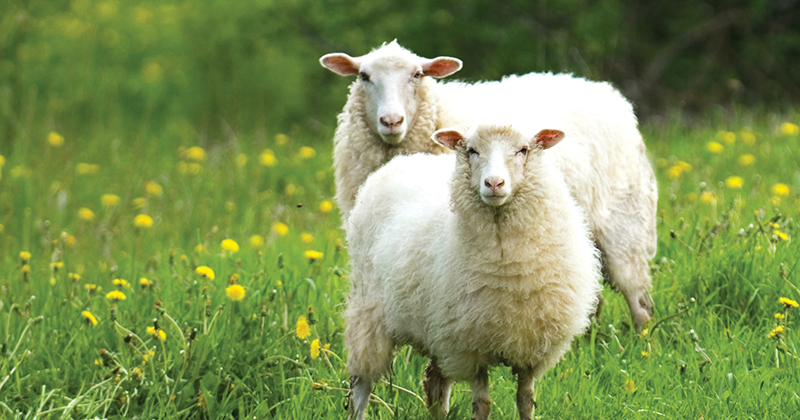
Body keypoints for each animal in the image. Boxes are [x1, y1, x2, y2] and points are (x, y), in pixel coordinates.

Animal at [322, 42, 660, 334]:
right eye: (364, 76)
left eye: (417, 75)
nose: (391, 121)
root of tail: (605, 91)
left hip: (623, 222)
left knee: (637, 295)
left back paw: (643, 342)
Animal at [344, 123, 600, 418]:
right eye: (472, 150)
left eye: (523, 150)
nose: (494, 183)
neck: (507, 269)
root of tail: (406, 159)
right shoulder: (470, 347)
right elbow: (482, 404)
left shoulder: (530, 349)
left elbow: (526, 399)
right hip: (369, 313)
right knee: (362, 384)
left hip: (437, 332)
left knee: (434, 384)